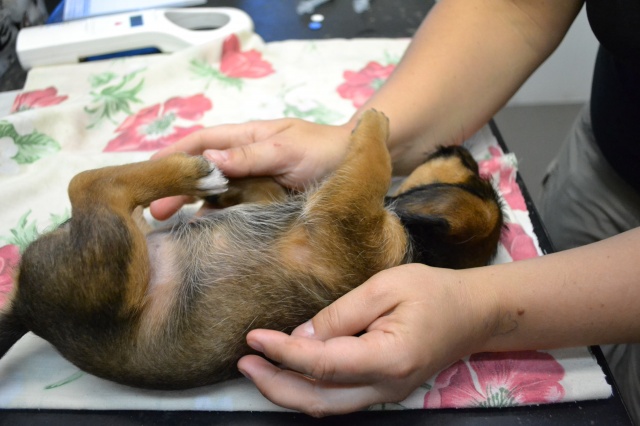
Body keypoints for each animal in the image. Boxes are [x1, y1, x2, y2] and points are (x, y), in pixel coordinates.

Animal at [0, 110, 503, 390]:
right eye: (477, 175)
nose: (465, 150)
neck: (418, 247)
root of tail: (26, 310)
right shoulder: (308, 202)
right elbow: (270, 186)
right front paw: (234, 183)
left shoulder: (345, 213)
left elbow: (374, 162)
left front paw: (374, 119)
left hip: (115, 257)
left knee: (89, 184)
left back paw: (192, 172)